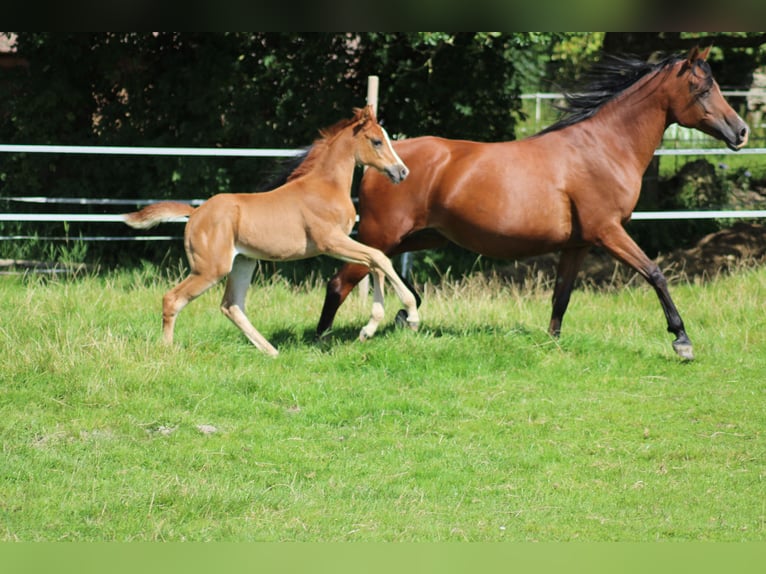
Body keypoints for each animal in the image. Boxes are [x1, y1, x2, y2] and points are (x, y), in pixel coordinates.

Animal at [123, 105, 419, 356]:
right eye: (377, 141)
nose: (402, 172)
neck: (325, 187)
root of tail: (195, 213)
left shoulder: (342, 243)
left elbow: (376, 262)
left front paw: (370, 328)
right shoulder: (331, 242)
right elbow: (379, 259)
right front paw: (411, 314)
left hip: (243, 262)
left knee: (231, 305)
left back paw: (271, 351)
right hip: (210, 269)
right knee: (173, 299)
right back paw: (168, 350)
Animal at [317, 47, 749, 360]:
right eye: (702, 89)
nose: (741, 131)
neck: (604, 148)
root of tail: (385, 164)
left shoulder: (578, 244)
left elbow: (562, 295)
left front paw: (552, 343)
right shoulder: (609, 231)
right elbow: (656, 274)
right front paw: (682, 340)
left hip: (420, 237)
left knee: (381, 273)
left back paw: (399, 317)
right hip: (384, 234)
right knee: (340, 281)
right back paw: (325, 338)